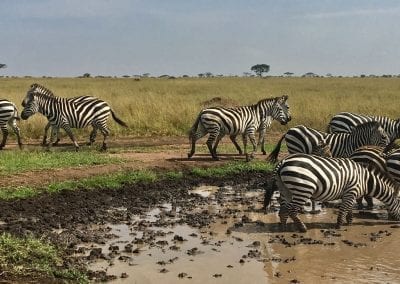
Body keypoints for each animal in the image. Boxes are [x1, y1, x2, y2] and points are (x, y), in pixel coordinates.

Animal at [266, 154, 400, 232]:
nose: (397, 222)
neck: (366, 181)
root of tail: (283, 161)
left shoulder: (350, 194)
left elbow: (349, 209)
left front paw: (349, 222)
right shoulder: (351, 191)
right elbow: (344, 209)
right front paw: (339, 226)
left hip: (285, 189)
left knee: (283, 209)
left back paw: (283, 227)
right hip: (303, 188)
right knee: (292, 210)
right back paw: (303, 228)